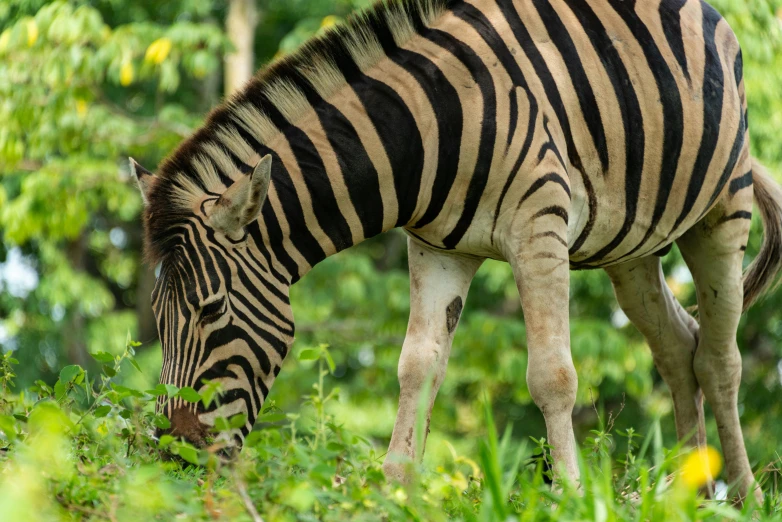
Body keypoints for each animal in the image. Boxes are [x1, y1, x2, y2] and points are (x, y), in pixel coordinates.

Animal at [133, 0, 782, 498]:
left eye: (212, 310)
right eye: (157, 318)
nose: (173, 459)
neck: (428, 132)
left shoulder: (539, 227)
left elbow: (552, 375)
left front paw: (572, 497)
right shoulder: (437, 248)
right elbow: (417, 368)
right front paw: (394, 488)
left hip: (721, 213)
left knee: (718, 359)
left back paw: (743, 495)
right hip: (632, 248)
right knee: (678, 347)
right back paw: (690, 496)